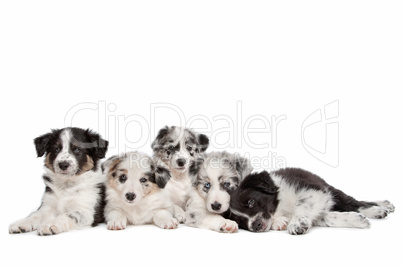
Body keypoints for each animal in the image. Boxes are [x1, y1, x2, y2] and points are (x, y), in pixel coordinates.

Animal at [229, 169, 396, 236]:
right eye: (241, 222)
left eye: (251, 202)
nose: (255, 226)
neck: (280, 207)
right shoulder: (318, 208)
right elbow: (329, 218)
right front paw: (356, 220)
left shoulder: (314, 191)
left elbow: (301, 205)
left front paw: (296, 223)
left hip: (331, 190)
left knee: (355, 202)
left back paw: (379, 208)